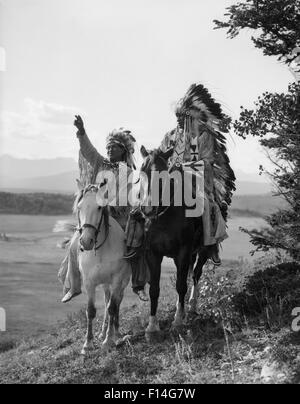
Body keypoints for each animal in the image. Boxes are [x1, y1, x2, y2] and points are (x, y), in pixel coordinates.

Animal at [74, 181, 131, 356]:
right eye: (79, 207)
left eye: (99, 207)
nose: (86, 241)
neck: (100, 250)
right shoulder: (89, 283)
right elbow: (91, 310)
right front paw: (87, 344)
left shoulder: (117, 280)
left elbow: (113, 308)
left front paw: (107, 342)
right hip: (106, 284)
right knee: (107, 301)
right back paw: (104, 331)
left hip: (122, 282)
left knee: (116, 302)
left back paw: (115, 333)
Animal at [140, 146, 211, 332]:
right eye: (142, 170)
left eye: (163, 172)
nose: (148, 209)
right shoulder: (153, 254)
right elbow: (154, 289)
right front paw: (152, 326)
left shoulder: (183, 252)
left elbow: (181, 285)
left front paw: (178, 321)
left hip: (203, 250)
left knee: (195, 275)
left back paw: (192, 305)